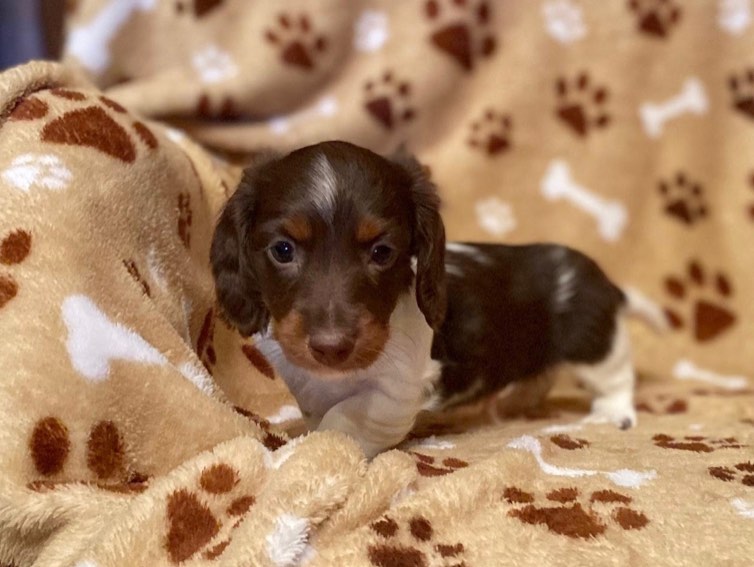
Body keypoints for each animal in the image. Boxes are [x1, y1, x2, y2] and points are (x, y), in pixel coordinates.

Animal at [212, 141, 664, 458]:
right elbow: (315, 409)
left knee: (617, 376)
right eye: (283, 250)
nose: (331, 347)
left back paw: (612, 413)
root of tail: (603, 280)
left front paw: (302, 453)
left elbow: (344, 420)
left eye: (382, 252)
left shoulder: (395, 390)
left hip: (595, 344)